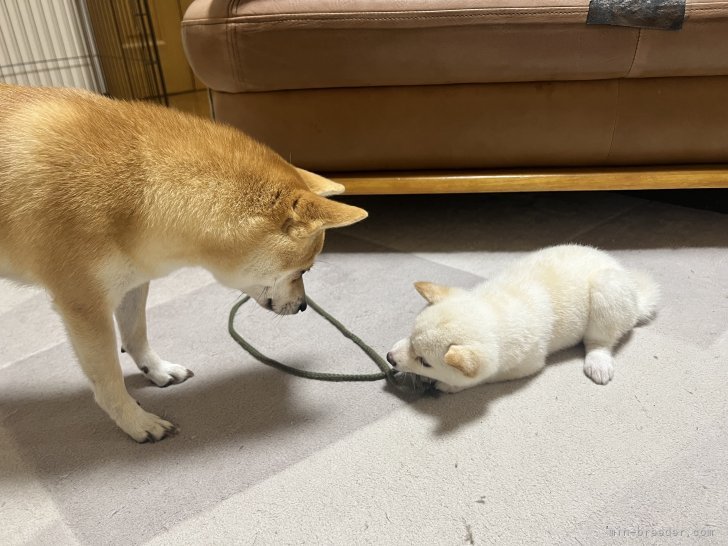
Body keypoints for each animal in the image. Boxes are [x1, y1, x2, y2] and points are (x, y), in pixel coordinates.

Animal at [0, 85, 366, 442]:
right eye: (303, 270)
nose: (303, 306)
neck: (142, 190)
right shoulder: (85, 307)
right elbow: (108, 380)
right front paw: (136, 422)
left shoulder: (133, 280)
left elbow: (135, 334)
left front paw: (157, 370)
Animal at [386, 243, 660, 392]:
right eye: (410, 336)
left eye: (424, 361)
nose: (389, 357)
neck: (491, 309)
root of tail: (636, 296)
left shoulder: (526, 364)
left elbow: (486, 376)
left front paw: (450, 385)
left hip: (607, 292)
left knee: (600, 342)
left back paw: (598, 361)